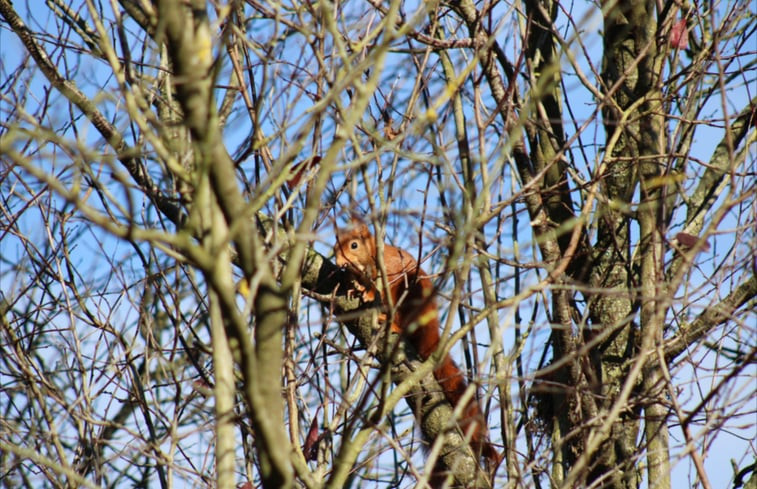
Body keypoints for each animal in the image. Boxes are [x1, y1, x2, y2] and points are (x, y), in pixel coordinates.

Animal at [334, 221, 500, 480]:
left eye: (354, 245)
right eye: (335, 243)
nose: (339, 261)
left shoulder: (391, 269)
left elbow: (382, 284)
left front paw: (368, 292)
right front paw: (356, 288)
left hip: (408, 297)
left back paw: (391, 322)